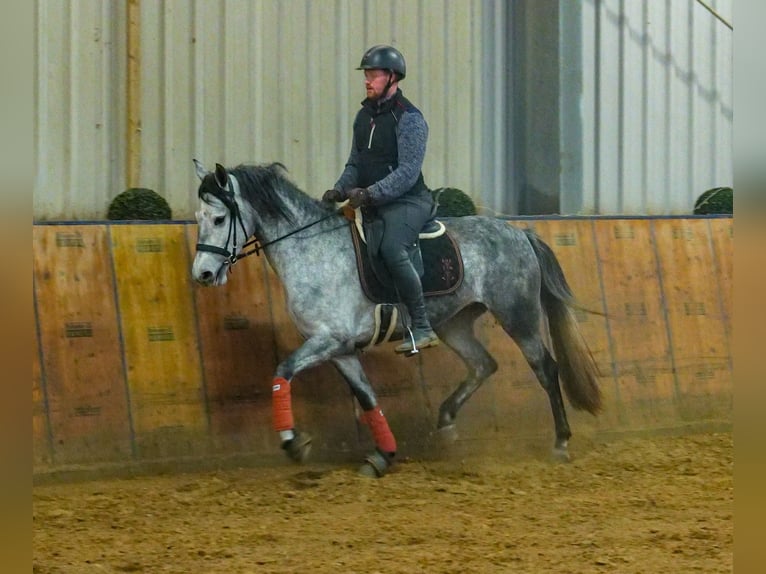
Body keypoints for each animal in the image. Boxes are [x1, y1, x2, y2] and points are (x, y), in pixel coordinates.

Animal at [190, 161, 600, 476]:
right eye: (198, 218)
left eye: (220, 218)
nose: (203, 274)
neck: (314, 251)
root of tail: (519, 232)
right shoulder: (341, 350)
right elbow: (368, 398)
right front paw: (383, 456)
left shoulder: (328, 340)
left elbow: (282, 371)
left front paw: (293, 443)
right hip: (454, 323)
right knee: (484, 364)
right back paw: (446, 423)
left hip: (518, 315)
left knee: (546, 368)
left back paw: (561, 442)